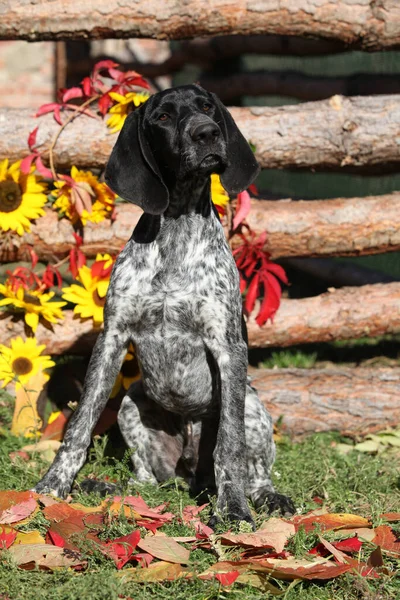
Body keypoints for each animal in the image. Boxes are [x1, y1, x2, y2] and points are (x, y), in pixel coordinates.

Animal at [34, 84, 296, 524]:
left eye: (207, 107)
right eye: (162, 117)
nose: (207, 133)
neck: (177, 225)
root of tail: (190, 471)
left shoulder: (227, 347)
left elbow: (230, 445)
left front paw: (233, 509)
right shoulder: (112, 339)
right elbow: (79, 424)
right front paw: (53, 485)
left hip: (252, 407)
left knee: (255, 468)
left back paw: (264, 496)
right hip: (131, 403)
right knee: (147, 479)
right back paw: (110, 487)